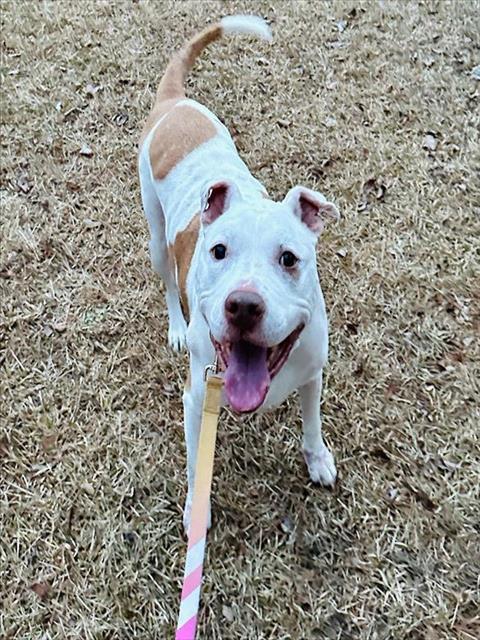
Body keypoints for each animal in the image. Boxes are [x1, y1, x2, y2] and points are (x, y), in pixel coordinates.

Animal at [138, 15, 342, 528]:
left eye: (289, 258)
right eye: (218, 252)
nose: (243, 305)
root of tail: (174, 102)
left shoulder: (313, 372)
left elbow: (312, 421)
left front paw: (317, 459)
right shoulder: (197, 400)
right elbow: (197, 463)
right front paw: (197, 510)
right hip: (155, 236)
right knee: (166, 280)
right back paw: (176, 326)